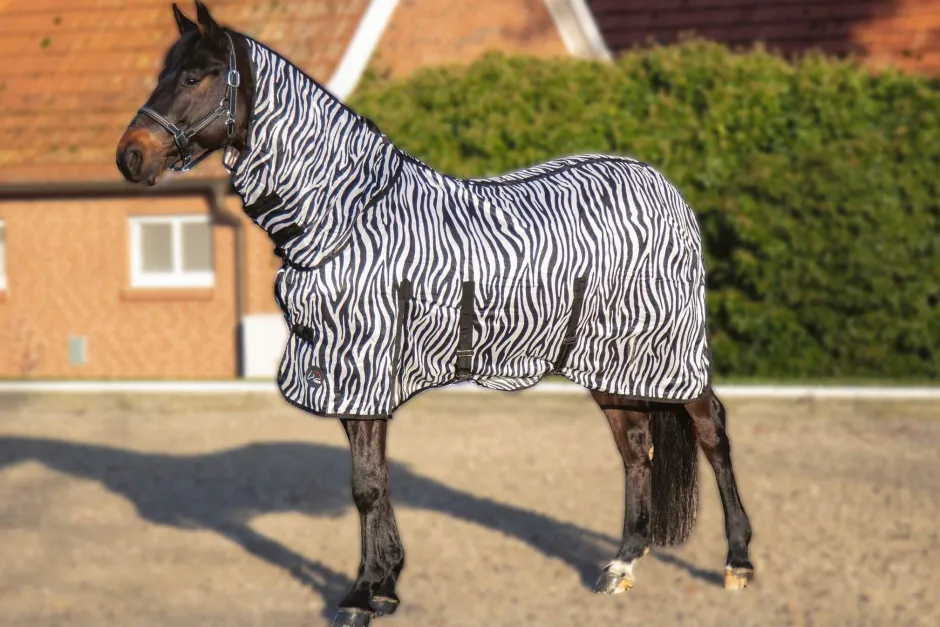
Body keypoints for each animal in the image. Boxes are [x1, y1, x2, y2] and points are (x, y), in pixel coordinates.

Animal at [117, 3, 754, 625]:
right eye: (162, 72)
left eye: (194, 77)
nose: (130, 156)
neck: (346, 219)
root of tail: (662, 185)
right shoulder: (347, 376)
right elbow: (373, 481)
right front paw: (386, 586)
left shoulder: (364, 366)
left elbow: (366, 487)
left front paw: (360, 597)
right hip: (609, 361)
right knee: (636, 449)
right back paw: (621, 565)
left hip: (669, 348)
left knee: (712, 431)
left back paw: (738, 563)